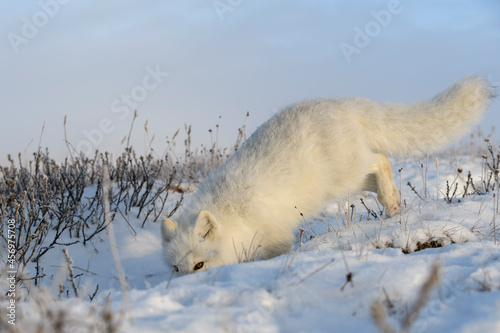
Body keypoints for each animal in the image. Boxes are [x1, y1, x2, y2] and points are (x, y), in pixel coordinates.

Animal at [162, 76, 494, 274]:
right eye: (177, 269)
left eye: (199, 265)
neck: (233, 213)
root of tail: (341, 104)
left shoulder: (275, 239)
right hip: (345, 181)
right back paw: (394, 205)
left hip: (348, 173)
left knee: (380, 160)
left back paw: (391, 201)